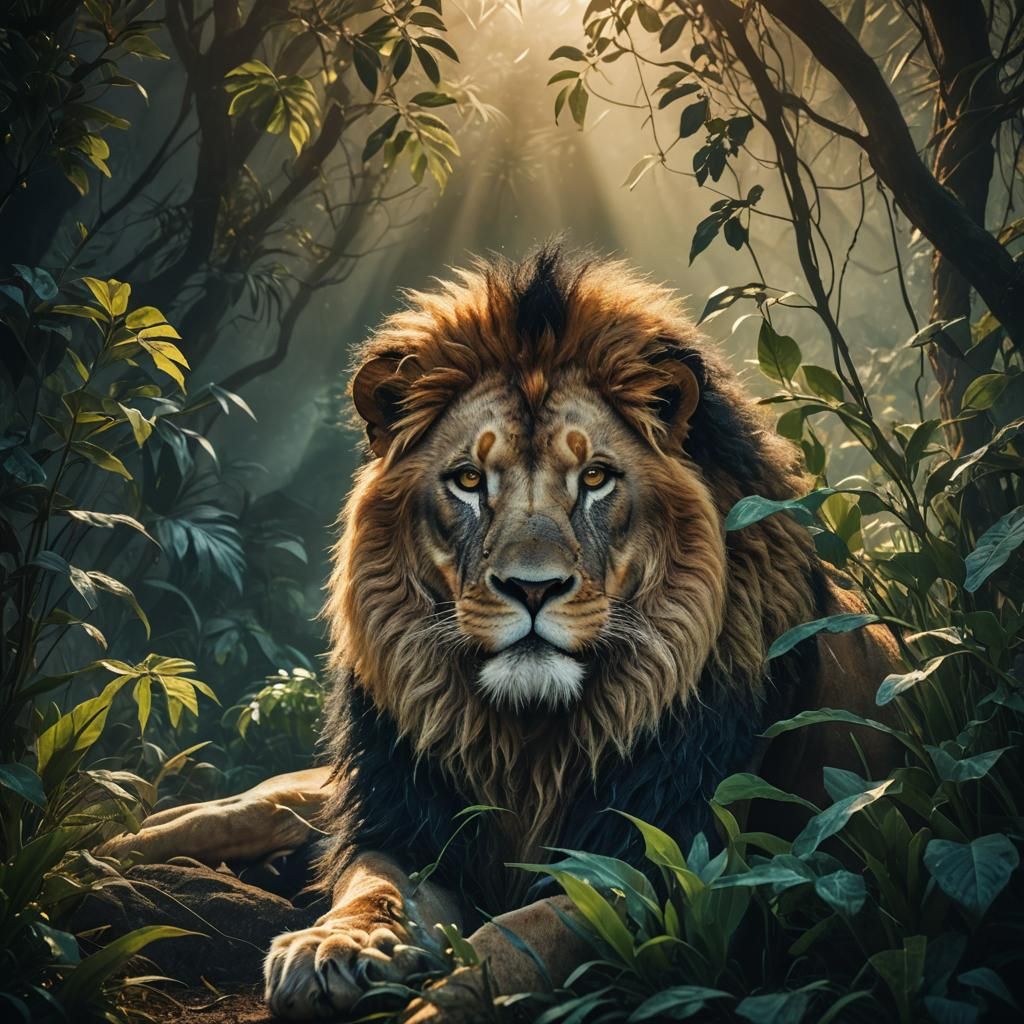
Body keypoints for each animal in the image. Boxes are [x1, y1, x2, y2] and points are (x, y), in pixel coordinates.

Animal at [100, 247, 898, 1020]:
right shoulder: (404, 823)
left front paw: (435, 1001)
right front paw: (332, 946)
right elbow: (370, 888)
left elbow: (516, 939)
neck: (529, 738)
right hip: (287, 801)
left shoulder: (662, 863)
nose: (532, 588)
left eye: (596, 478)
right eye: (468, 480)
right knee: (189, 822)